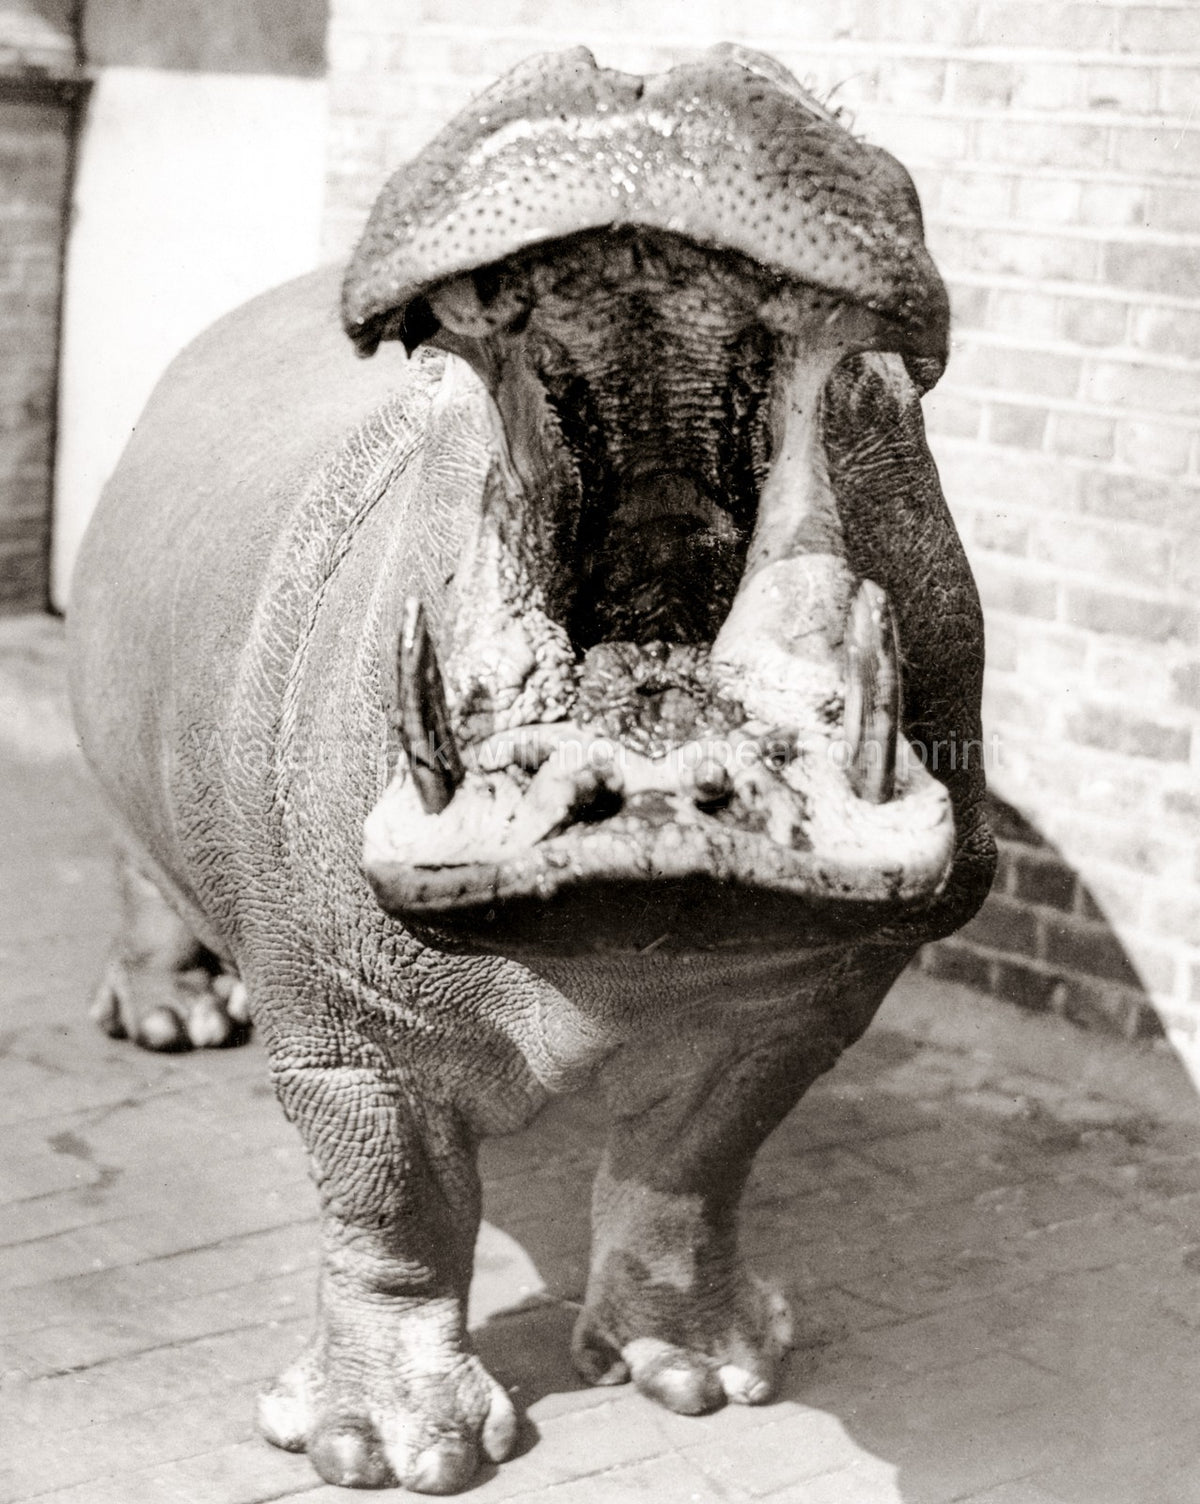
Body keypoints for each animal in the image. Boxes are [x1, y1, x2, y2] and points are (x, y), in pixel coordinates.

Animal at [68, 44, 995, 1495]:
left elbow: (697, 1160)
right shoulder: (341, 1025)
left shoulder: (803, 1004)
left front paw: (708, 1375)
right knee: (138, 873)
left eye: (895, 160)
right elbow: (393, 1205)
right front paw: (384, 1451)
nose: (642, 70)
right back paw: (173, 1022)